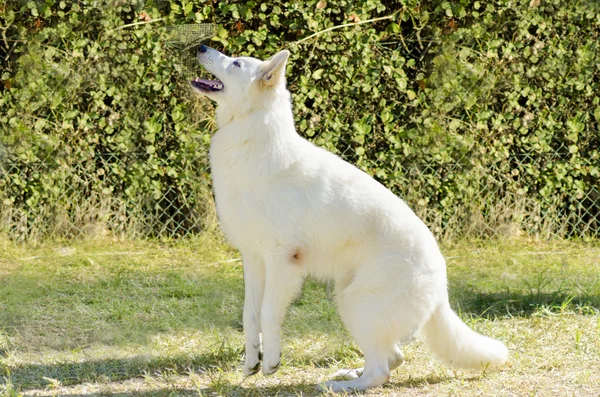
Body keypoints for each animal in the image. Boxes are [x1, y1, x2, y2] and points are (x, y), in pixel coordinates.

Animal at [191, 44, 506, 392]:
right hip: (348, 299)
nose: (201, 47)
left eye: (235, 63)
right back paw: (348, 375)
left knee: (382, 369)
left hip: (355, 303)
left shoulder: (282, 261)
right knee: (392, 358)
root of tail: (441, 284)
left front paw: (271, 361)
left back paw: (339, 386)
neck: (251, 138)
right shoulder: (254, 259)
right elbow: (251, 315)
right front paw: (251, 362)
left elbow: (270, 313)